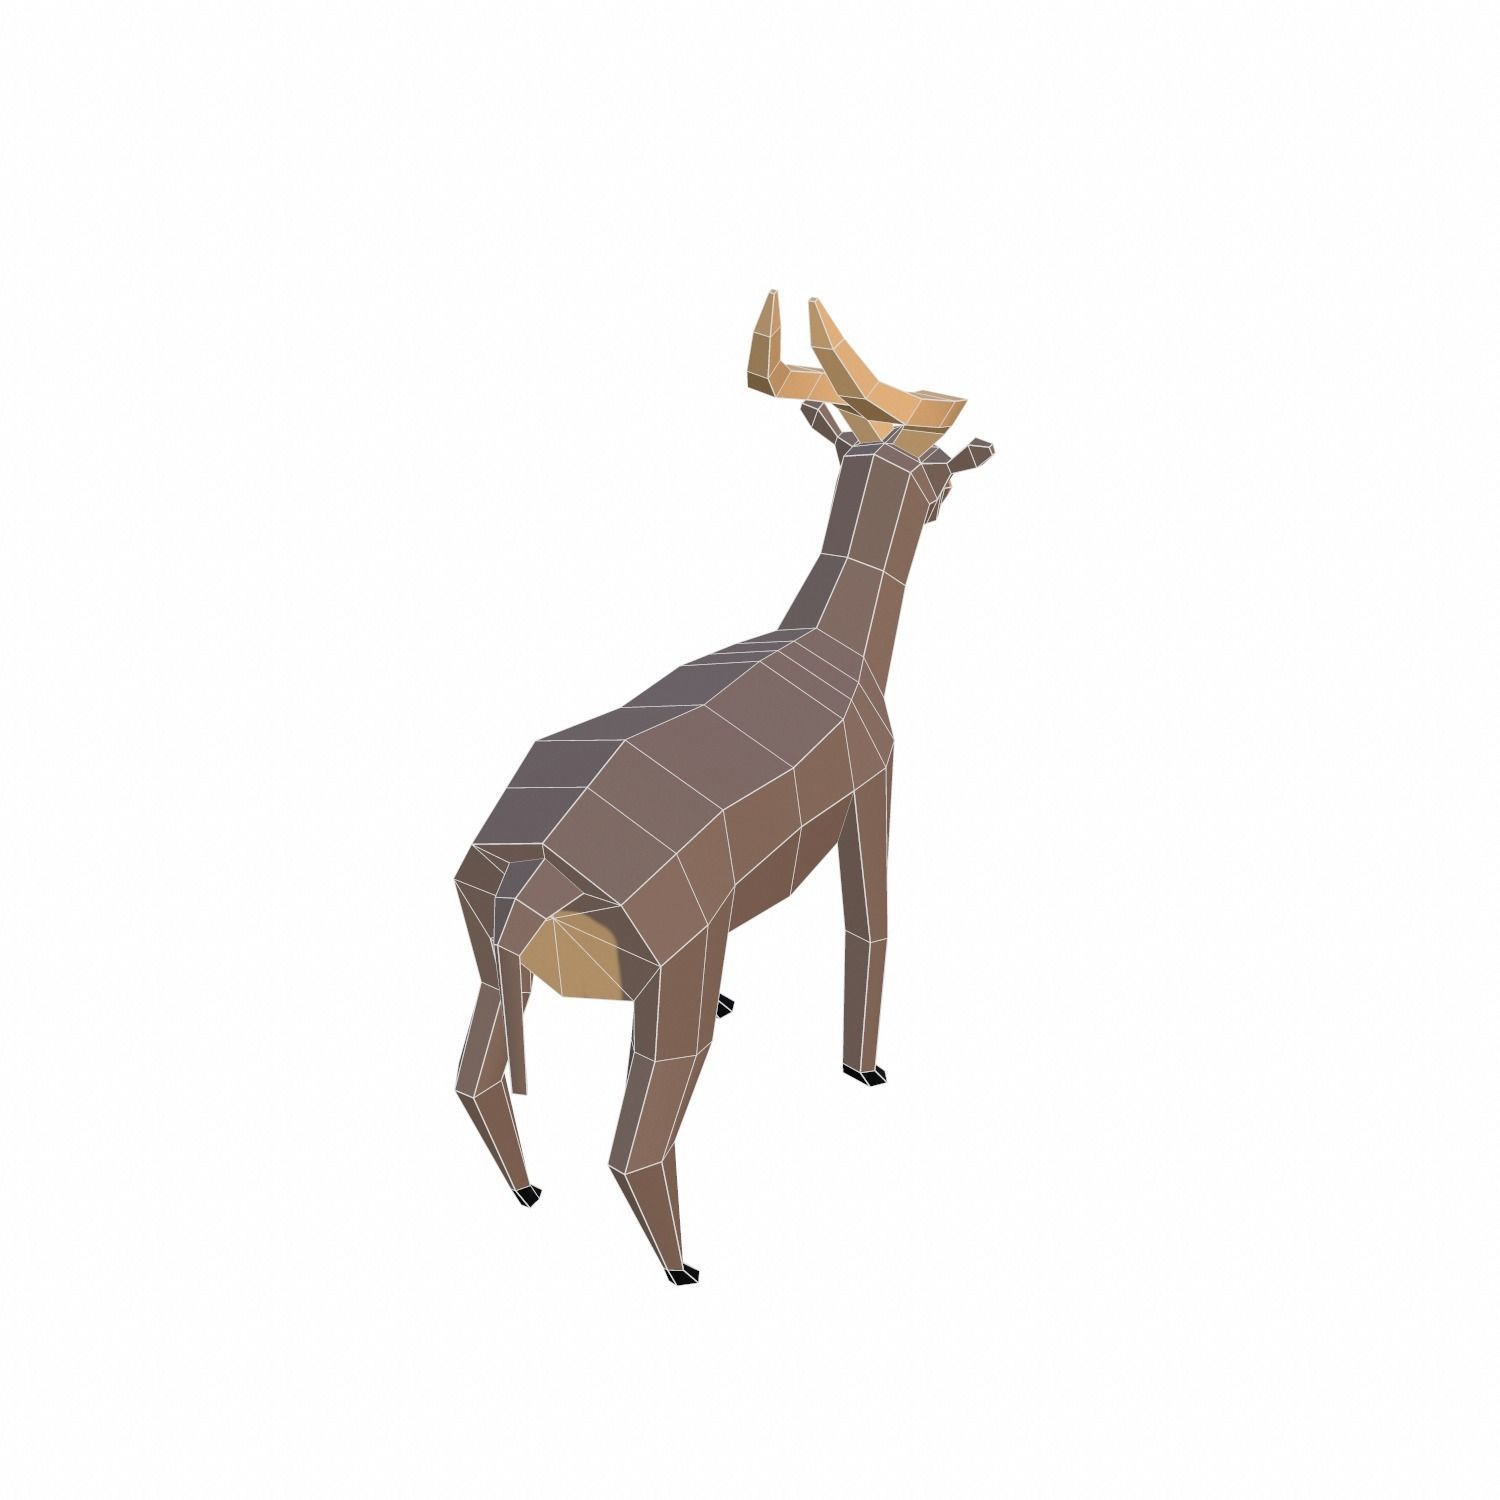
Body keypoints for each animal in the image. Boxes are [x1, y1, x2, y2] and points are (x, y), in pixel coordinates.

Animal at [454, 291, 994, 1283]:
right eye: (931, 465)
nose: (941, 494)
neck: (835, 648)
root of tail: (539, 870)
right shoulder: (876, 790)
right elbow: (872, 928)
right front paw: (866, 1068)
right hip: (666, 981)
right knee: (630, 1144)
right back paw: (683, 1265)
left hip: (485, 962)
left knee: (472, 1081)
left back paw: (527, 1190)